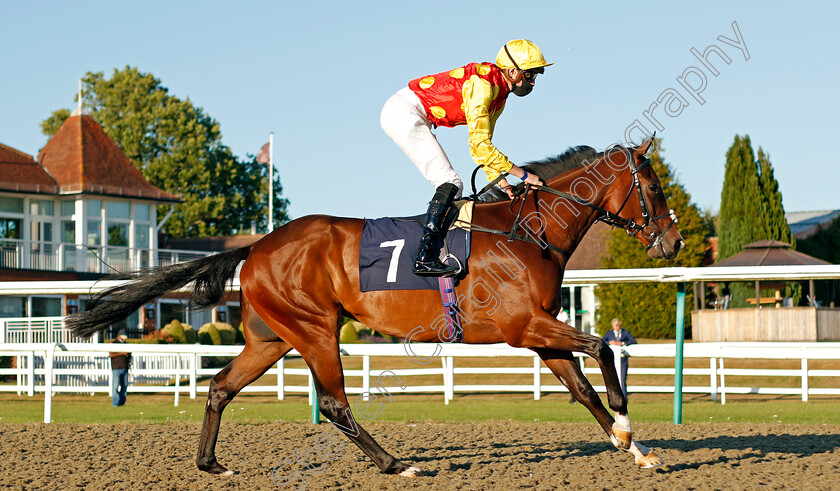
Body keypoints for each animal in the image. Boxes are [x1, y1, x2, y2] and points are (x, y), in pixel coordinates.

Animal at [65, 136, 684, 478]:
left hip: (272, 337)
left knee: (219, 386)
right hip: (316, 330)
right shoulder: (524, 325)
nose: (675, 242)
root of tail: (257, 246)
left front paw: (637, 450)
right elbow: (603, 347)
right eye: (654, 189)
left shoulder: (537, 331)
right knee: (336, 404)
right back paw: (395, 463)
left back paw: (211, 463)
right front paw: (627, 425)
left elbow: (582, 387)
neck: (527, 232)